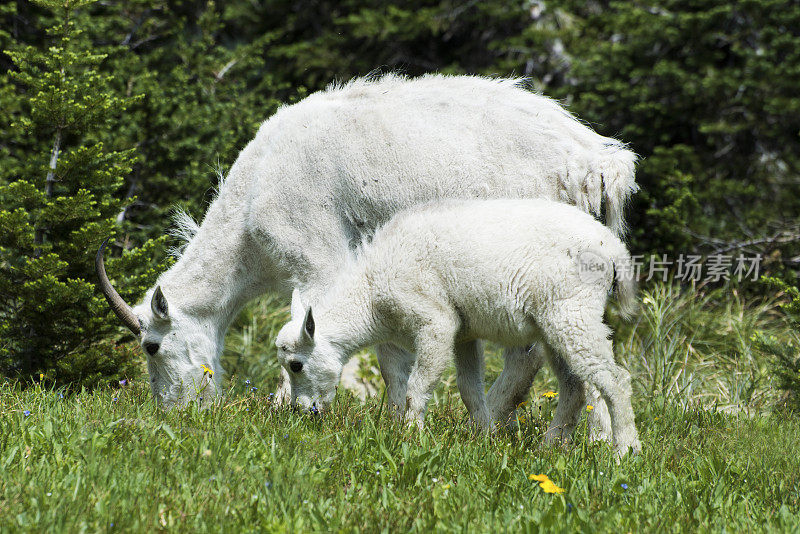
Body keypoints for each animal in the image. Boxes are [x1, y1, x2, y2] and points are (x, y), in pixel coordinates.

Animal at [278, 199, 640, 458]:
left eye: (296, 365)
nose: (301, 413)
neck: (369, 295)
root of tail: (614, 249)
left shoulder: (435, 320)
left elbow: (417, 386)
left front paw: (410, 436)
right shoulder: (465, 333)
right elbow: (469, 389)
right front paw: (484, 438)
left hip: (572, 311)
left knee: (615, 379)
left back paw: (625, 450)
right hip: (555, 323)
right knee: (574, 387)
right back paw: (551, 447)